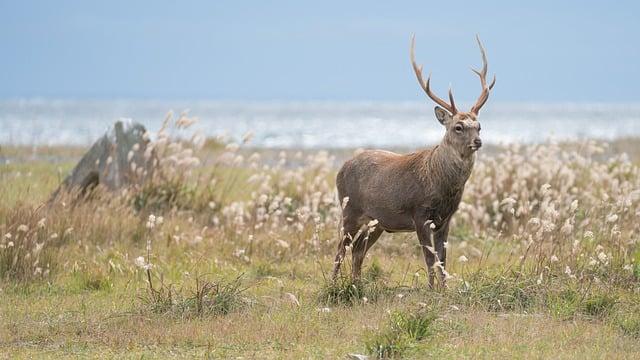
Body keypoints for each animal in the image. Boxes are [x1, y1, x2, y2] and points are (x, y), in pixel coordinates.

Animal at [332, 35, 498, 288]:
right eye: (458, 127)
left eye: (479, 126)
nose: (478, 141)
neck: (441, 186)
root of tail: (341, 168)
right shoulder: (419, 212)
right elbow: (429, 258)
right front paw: (431, 289)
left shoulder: (446, 219)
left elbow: (443, 259)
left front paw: (444, 288)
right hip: (349, 209)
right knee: (340, 249)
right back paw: (333, 284)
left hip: (378, 221)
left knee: (358, 249)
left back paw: (356, 284)